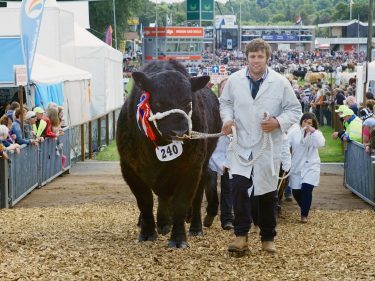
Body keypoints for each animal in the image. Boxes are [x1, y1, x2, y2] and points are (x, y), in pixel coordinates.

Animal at [117, 59, 223, 247]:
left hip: (204, 166)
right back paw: (161, 223)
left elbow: (181, 203)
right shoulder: (129, 168)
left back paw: (194, 227)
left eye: (188, 103)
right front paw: (147, 233)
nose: (179, 131)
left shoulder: (191, 167)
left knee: (196, 198)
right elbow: (144, 201)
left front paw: (179, 239)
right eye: (159, 103)